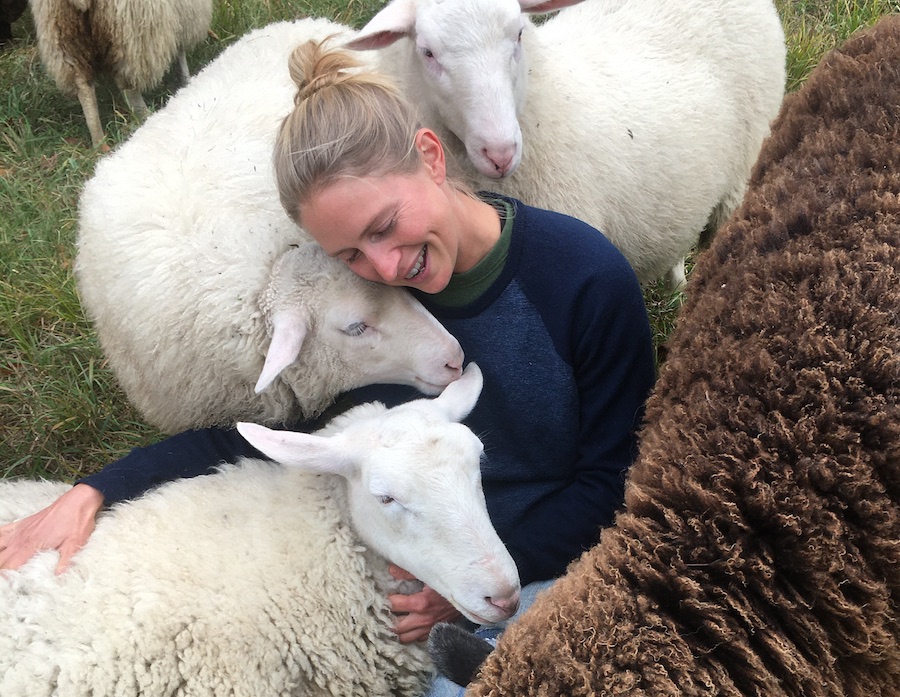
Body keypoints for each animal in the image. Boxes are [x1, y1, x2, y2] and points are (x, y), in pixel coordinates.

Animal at [27, 0, 213, 147]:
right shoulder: (187, 11)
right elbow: (181, 50)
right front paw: (187, 79)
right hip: (132, 31)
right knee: (129, 86)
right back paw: (146, 116)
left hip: (61, 32)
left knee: (82, 86)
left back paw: (99, 142)